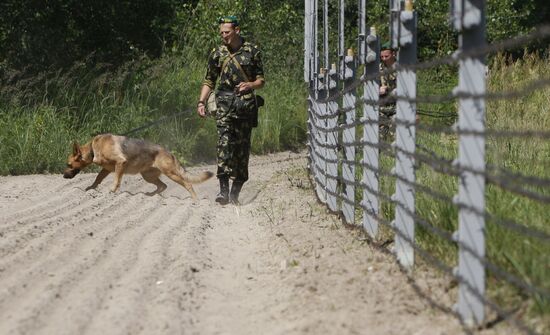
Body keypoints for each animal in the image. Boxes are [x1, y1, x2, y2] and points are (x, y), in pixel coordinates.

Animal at [62, 133, 213, 200]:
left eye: (68, 164)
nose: (63, 176)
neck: (93, 149)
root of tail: (168, 152)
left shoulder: (120, 164)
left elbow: (116, 180)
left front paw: (112, 191)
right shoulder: (106, 169)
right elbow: (97, 179)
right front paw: (90, 189)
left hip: (171, 173)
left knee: (188, 184)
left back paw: (195, 201)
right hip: (147, 176)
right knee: (162, 186)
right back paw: (149, 195)